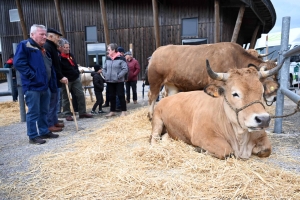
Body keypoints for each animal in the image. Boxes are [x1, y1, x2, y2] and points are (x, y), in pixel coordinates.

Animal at [151, 59, 282, 159]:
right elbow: (226, 151)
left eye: (262, 92)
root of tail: (166, 98)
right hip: (157, 121)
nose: (263, 119)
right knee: (154, 138)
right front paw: (199, 149)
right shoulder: (202, 136)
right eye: (235, 94)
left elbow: (266, 149)